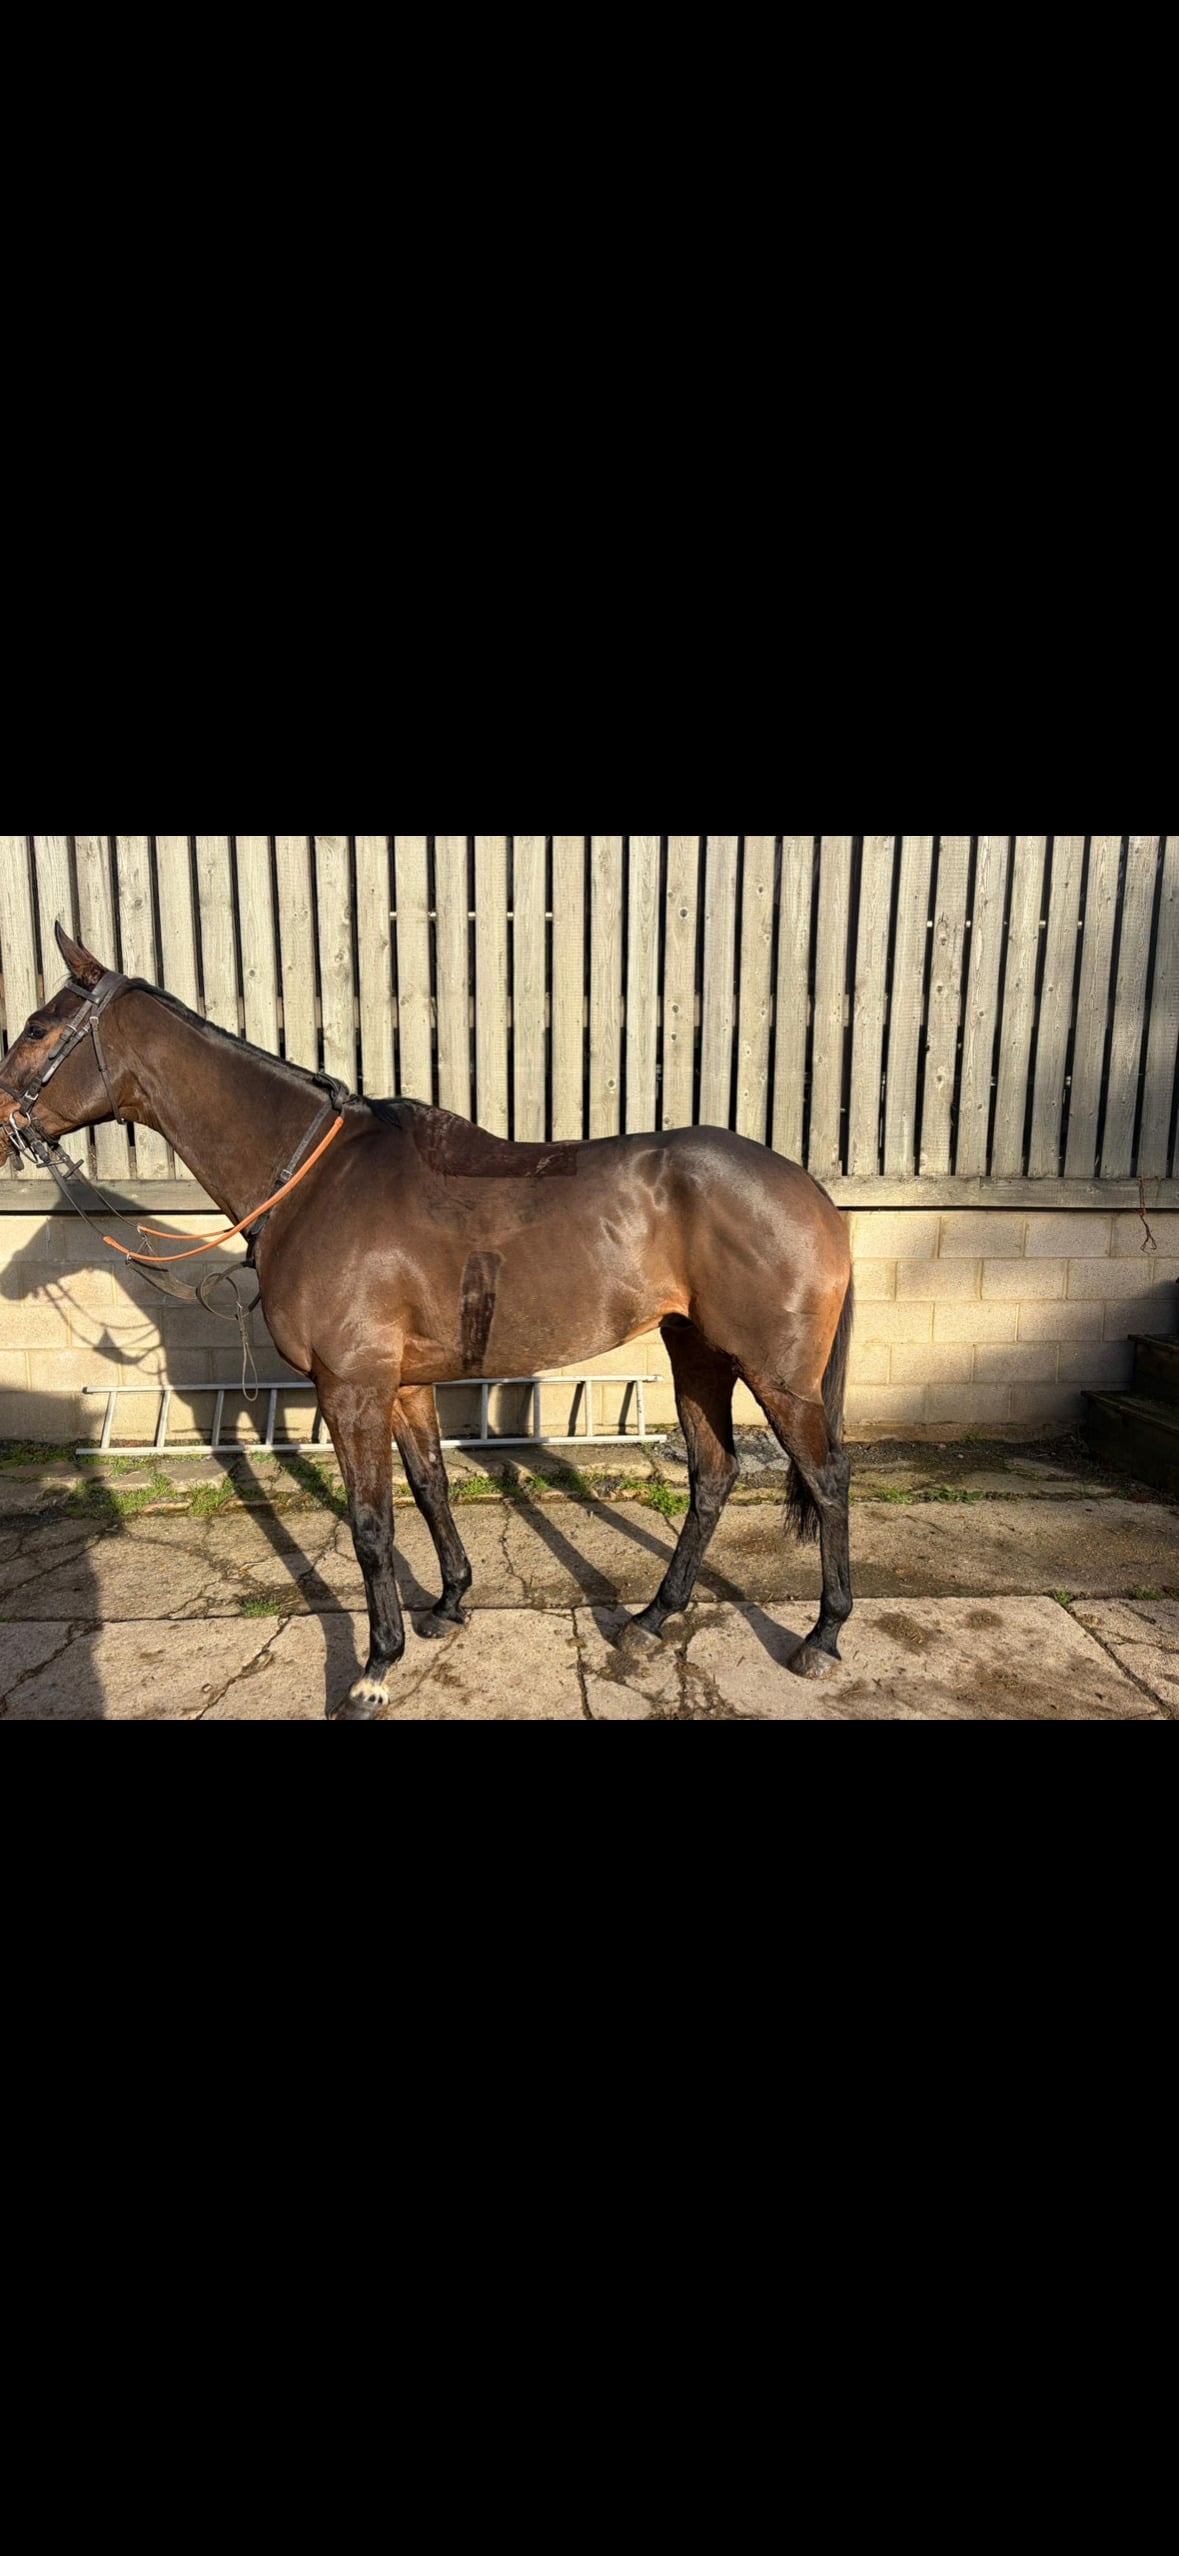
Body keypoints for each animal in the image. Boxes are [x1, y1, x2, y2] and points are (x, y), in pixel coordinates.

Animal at [0, 922, 855, 1719]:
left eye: (39, 1027)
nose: (2, 1123)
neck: (316, 1180)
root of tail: (809, 1190)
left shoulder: (351, 1389)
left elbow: (370, 1524)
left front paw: (376, 1667)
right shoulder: (403, 1386)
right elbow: (430, 1486)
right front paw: (448, 1603)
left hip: (777, 1376)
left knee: (825, 1479)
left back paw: (821, 1637)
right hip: (697, 1353)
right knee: (712, 1476)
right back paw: (652, 1617)